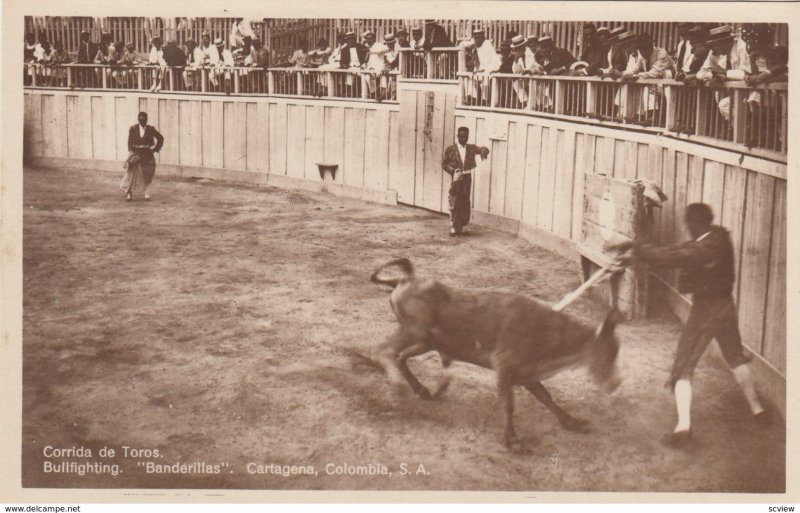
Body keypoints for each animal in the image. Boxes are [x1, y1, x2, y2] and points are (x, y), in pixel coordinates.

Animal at [370, 258, 624, 450]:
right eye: (607, 352)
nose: (615, 384)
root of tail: (403, 280)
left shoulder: (526, 373)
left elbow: (546, 397)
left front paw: (571, 421)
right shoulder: (504, 367)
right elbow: (508, 405)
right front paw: (512, 441)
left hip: (425, 342)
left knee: (400, 357)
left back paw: (422, 390)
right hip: (413, 331)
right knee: (385, 350)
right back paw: (398, 387)